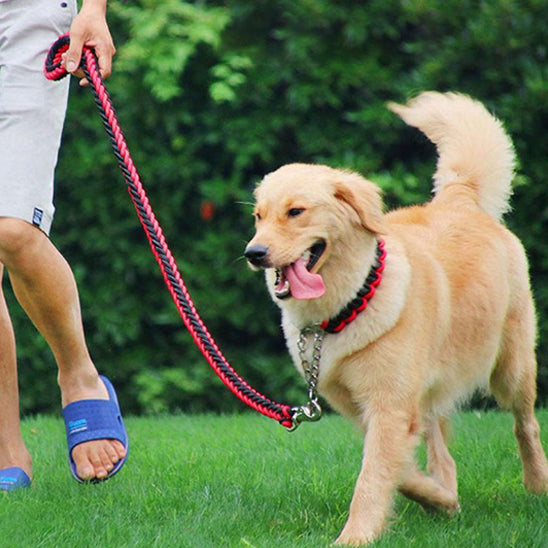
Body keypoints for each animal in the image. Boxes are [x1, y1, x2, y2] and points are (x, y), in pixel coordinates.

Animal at [244, 92, 548, 544]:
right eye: (258, 216)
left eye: (296, 212)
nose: (254, 253)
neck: (343, 310)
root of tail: (457, 197)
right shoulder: (365, 409)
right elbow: (398, 469)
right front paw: (439, 499)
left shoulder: (388, 406)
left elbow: (372, 478)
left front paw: (354, 537)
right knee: (441, 446)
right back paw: (446, 496)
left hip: (511, 368)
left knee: (525, 424)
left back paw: (537, 485)